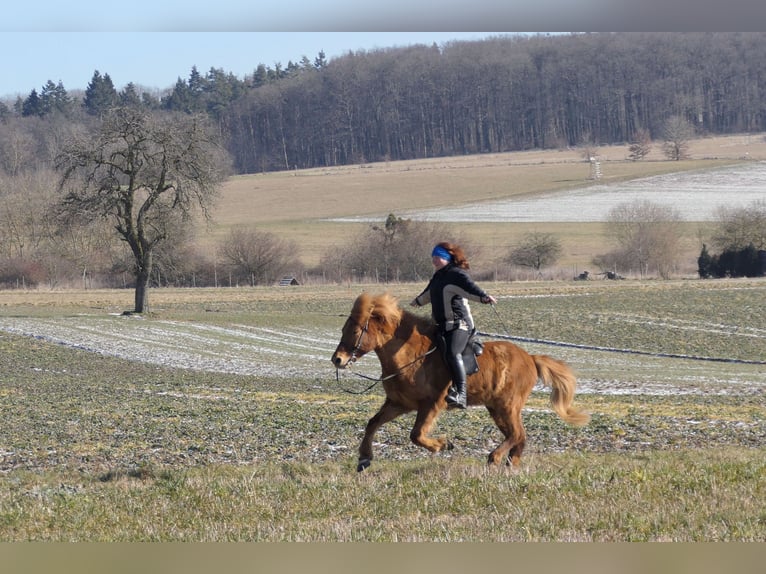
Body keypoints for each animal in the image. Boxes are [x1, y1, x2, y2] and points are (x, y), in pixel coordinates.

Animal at [332, 294, 592, 474]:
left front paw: (442, 445)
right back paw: (511, 463)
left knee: (517, 433)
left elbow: (416, 435)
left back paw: (495, 458)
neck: (410, 356)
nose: (338, 360)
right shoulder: (399, 404)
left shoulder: (431, 404)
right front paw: (364, 458)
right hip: (497, 408)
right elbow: (373, 423)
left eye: (355, 330)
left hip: (508, 405)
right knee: (518, 435)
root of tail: (530, 358)